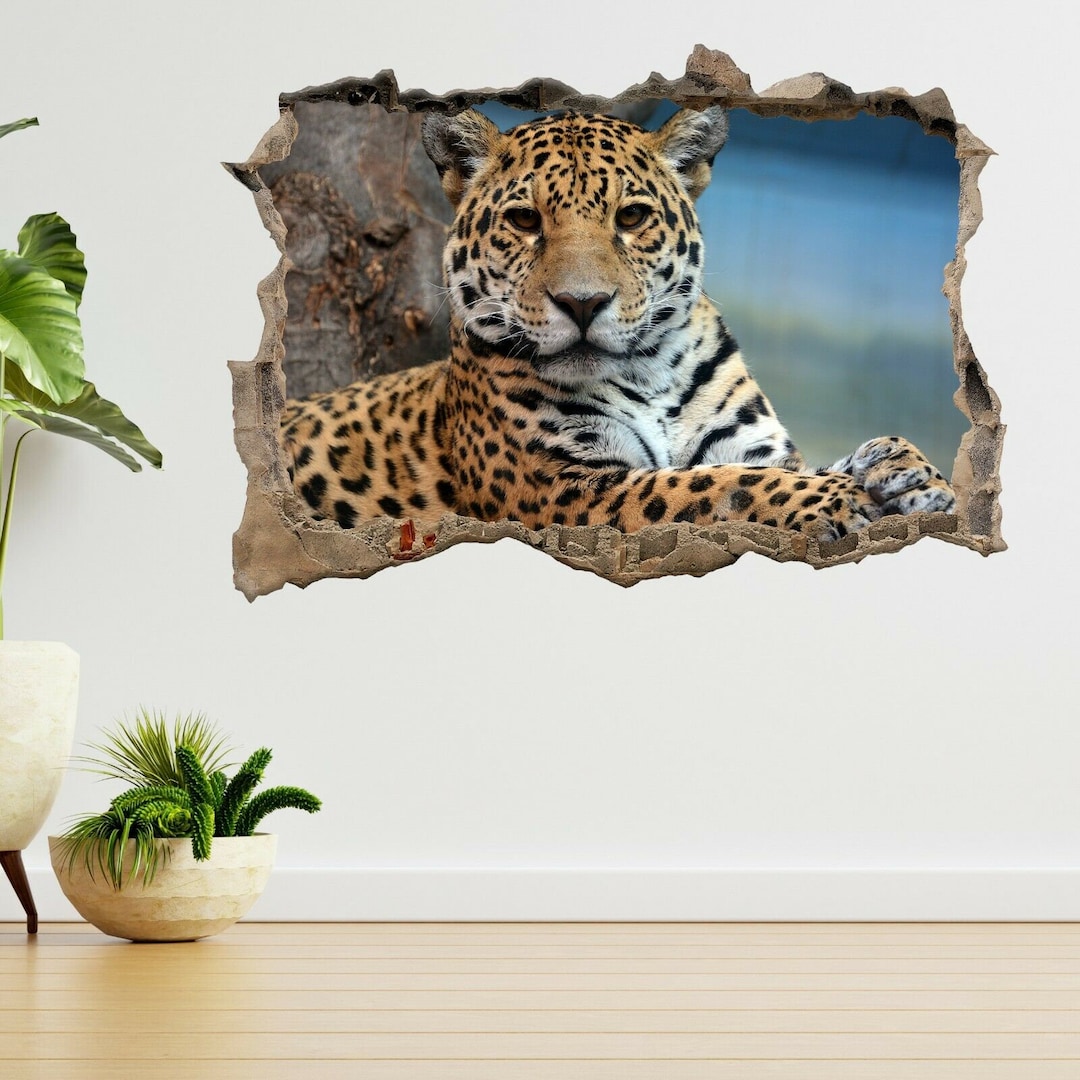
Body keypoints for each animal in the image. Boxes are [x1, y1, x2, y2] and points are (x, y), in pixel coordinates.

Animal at [280, 105, 955, 542]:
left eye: (630, 217)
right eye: (525, 220)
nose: (582, 303)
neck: (648, 374)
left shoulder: (755, 447)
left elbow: (761, 468)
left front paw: (904, 471)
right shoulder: (564, 487)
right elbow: (711, 487)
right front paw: (840, 497)